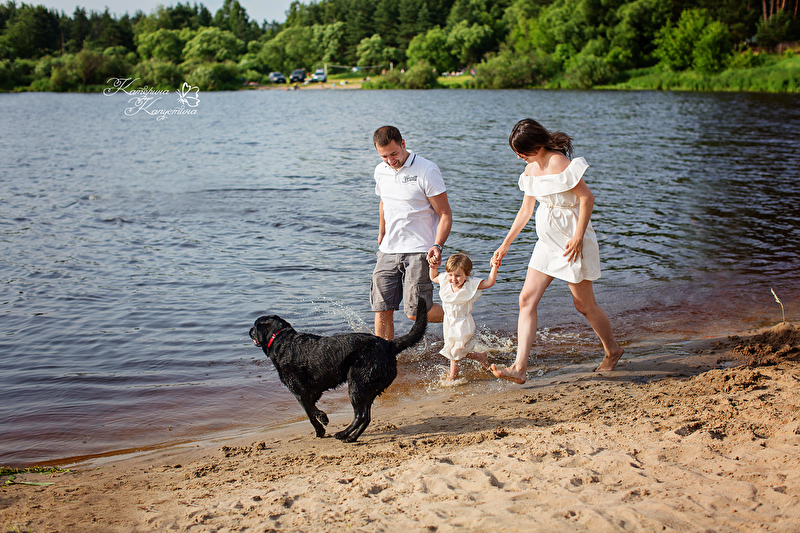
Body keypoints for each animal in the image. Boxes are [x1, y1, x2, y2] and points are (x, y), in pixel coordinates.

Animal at [249, 298, 427, 442]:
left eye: (255, 326)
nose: (249, 331)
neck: (281, 339)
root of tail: (389, 345)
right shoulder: (312, 392)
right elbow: (313, 408)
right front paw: (323, 420)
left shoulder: (299, 392)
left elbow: (310, 413)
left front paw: (321, 426)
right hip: (368, 389)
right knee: (366, 417)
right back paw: (351, 437)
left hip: (357, 385)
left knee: (360, 416)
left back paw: (342, 434)